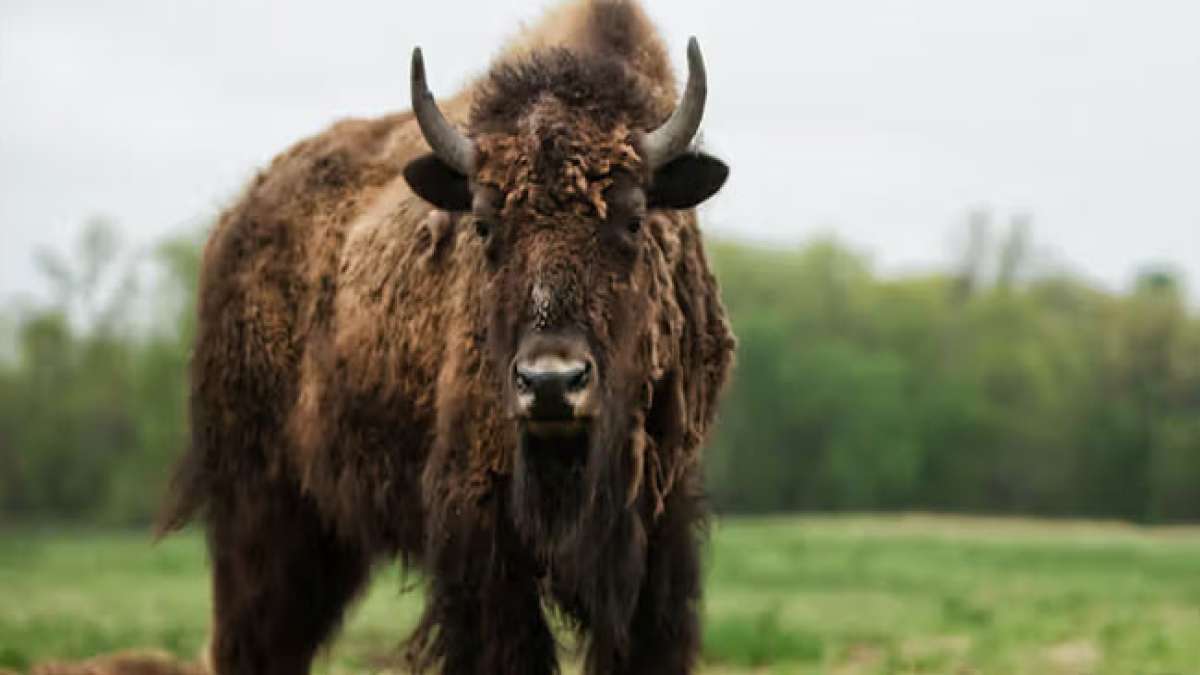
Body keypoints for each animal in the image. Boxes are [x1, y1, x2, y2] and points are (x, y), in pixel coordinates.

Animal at [160, 1, 735, 673]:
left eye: (635, 218)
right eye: (483, 224)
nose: (551, 384)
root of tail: (235, 222)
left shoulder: (658, 540)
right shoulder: (483, 546)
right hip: (263, 510)